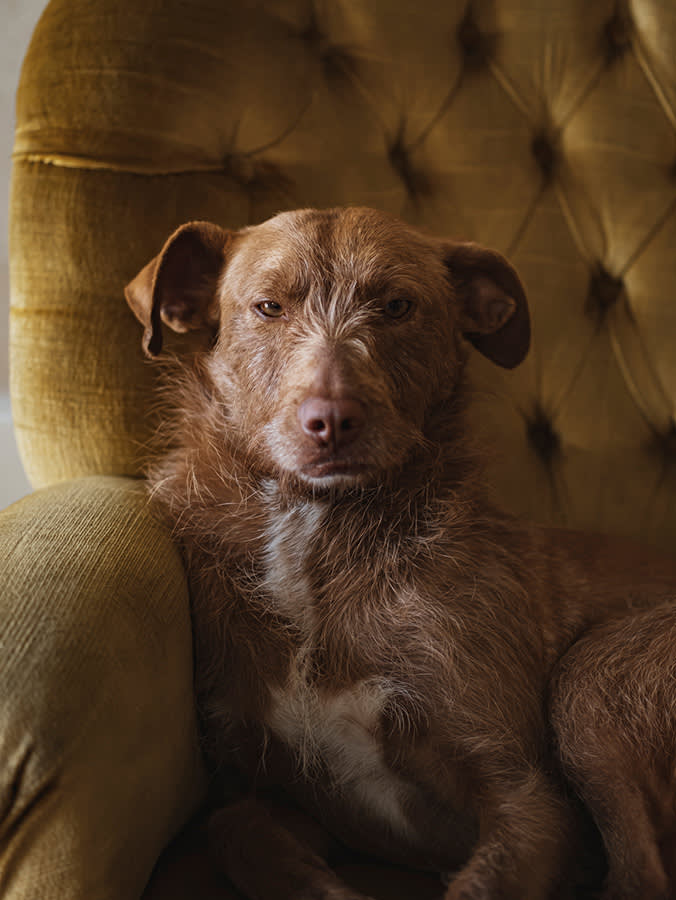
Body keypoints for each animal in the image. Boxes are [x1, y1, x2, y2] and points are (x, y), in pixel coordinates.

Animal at [125, 207, 676, 896]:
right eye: (269, 306)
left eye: (396, 306)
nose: (332, 420)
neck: (318, 535)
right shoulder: (272, 791)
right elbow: (236, 830)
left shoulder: (532, 800)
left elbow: (485, 879)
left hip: (592, 681)